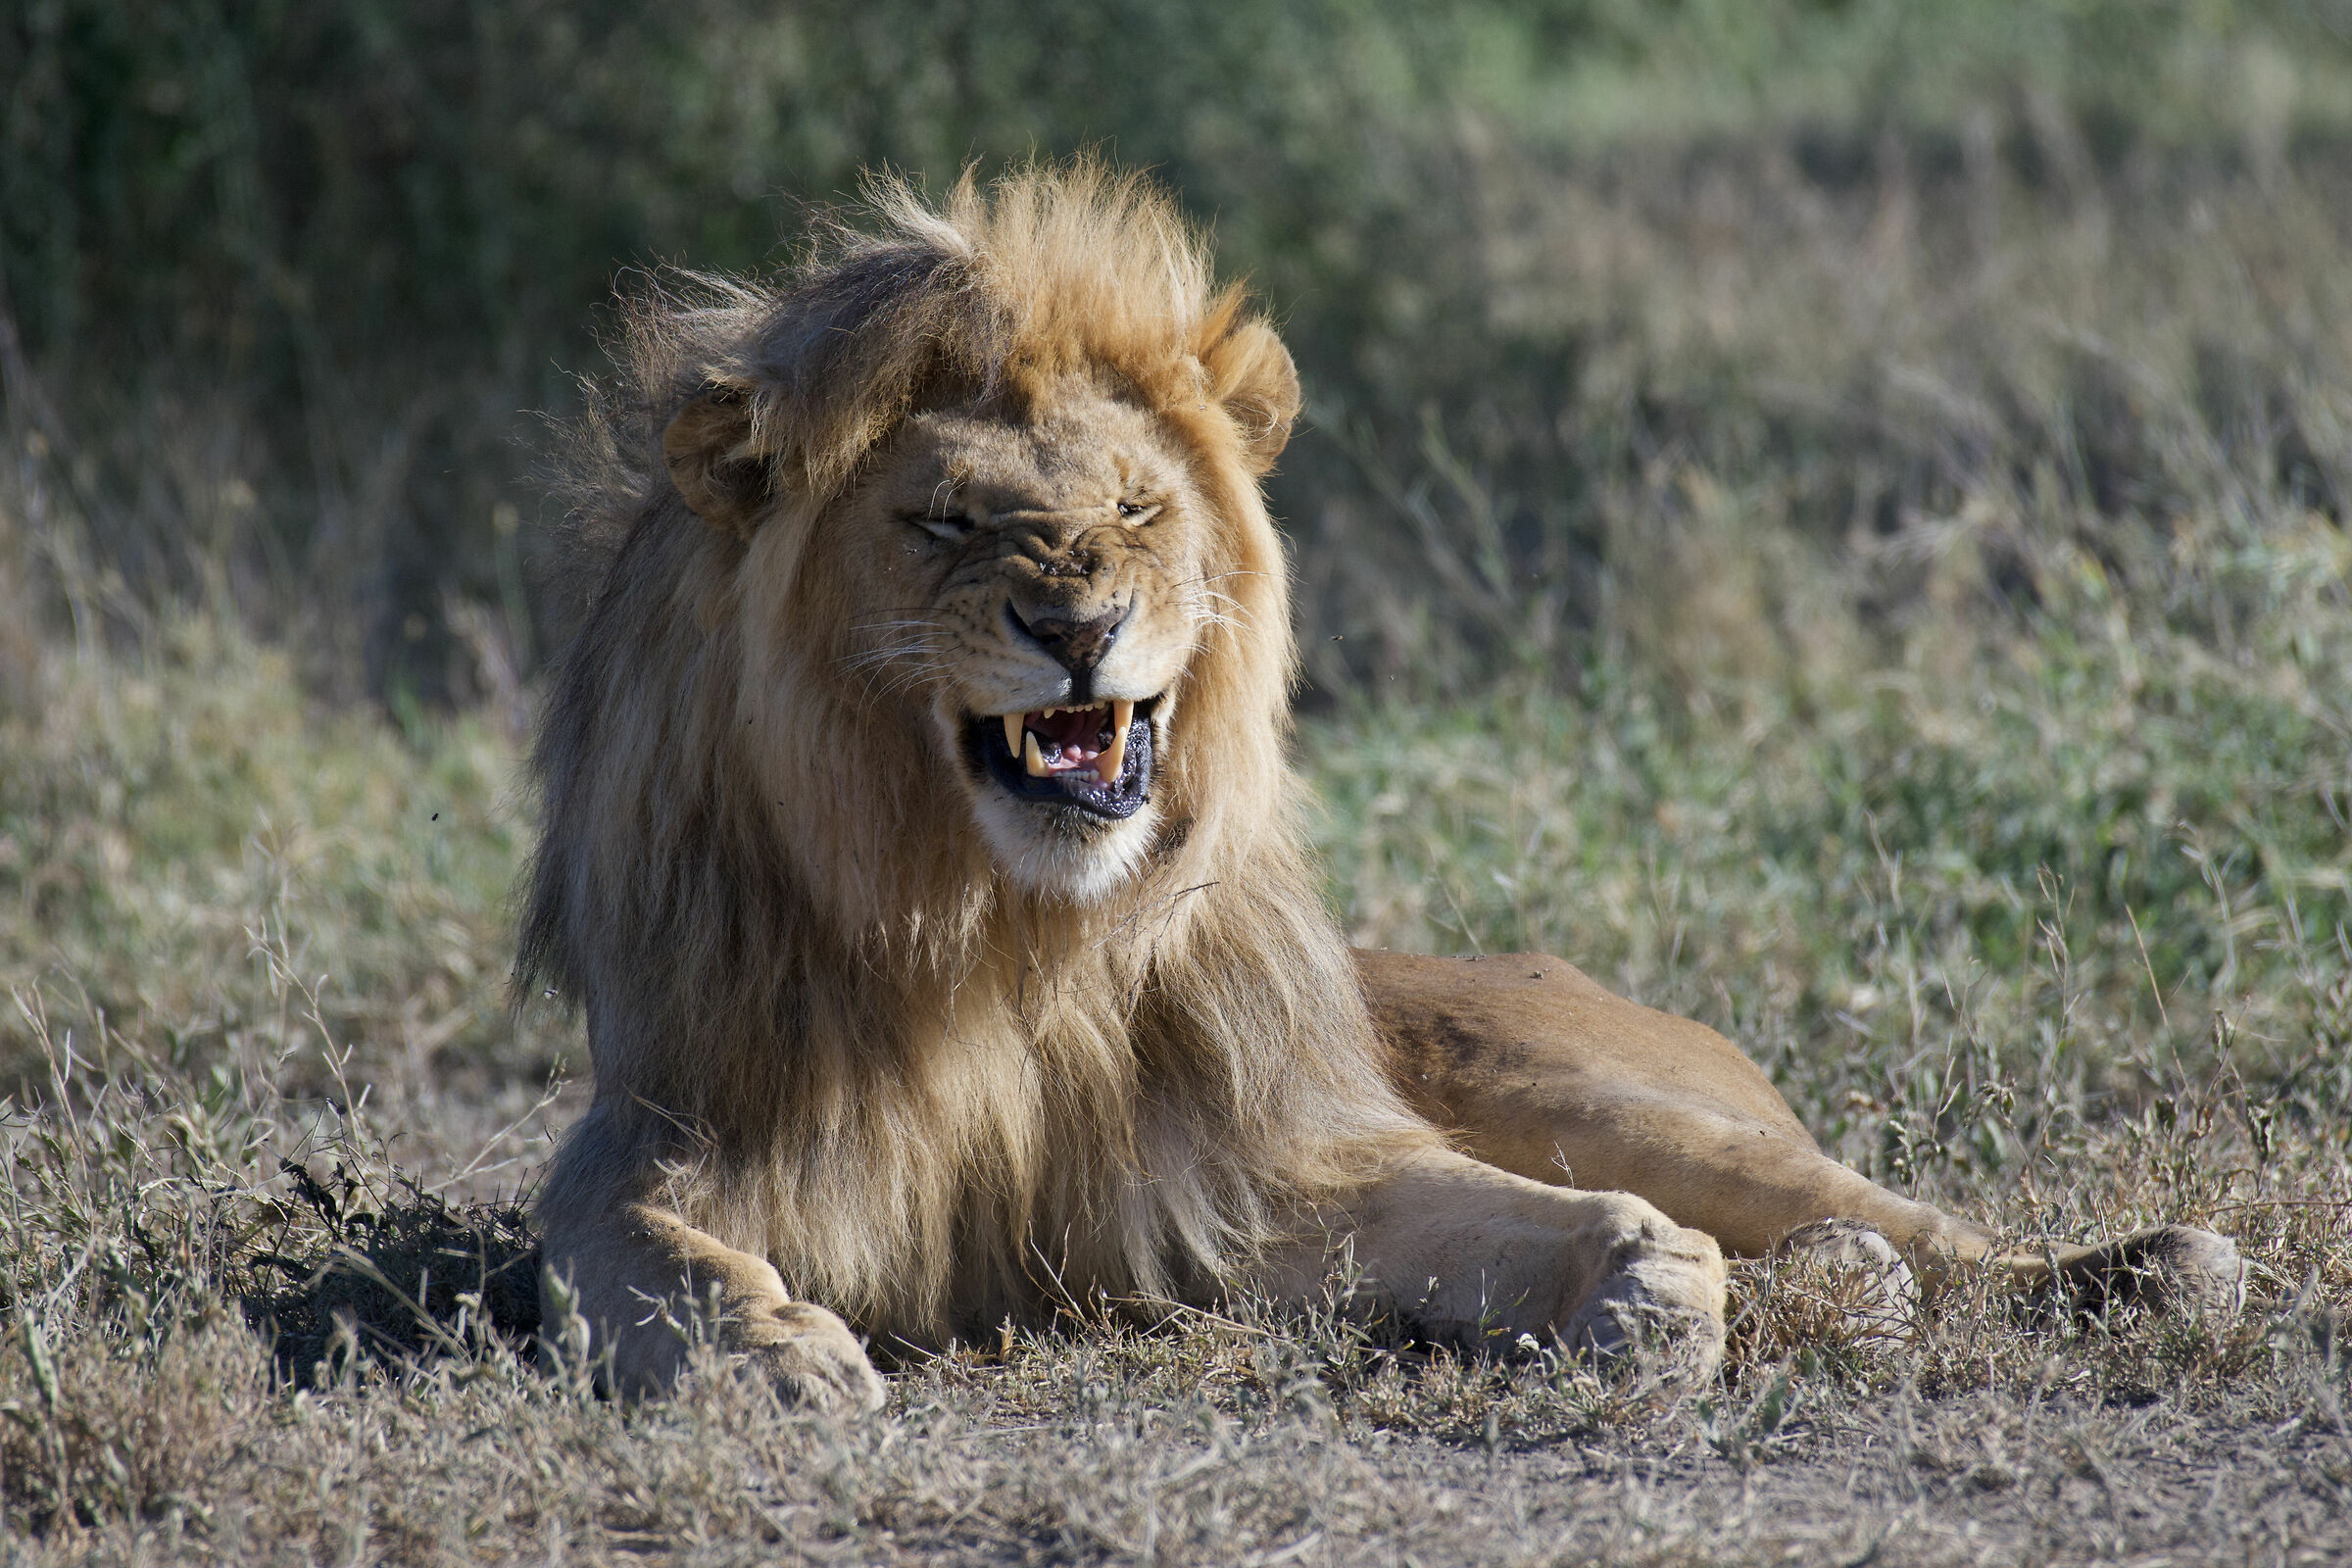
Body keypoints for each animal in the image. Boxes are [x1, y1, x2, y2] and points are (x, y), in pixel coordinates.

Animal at [523, 162, 2242, 1412]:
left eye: (1136, 508)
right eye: (945, 521)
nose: (1075, 625)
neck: (1013, 940)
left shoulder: (1262, 1160)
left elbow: (1486, 1208)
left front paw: (1644, 1280)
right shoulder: (675, 1129)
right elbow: (643, 1259)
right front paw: (773, 1357)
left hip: (1602, 1095)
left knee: (1920, 1226)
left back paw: (2134, 1270)